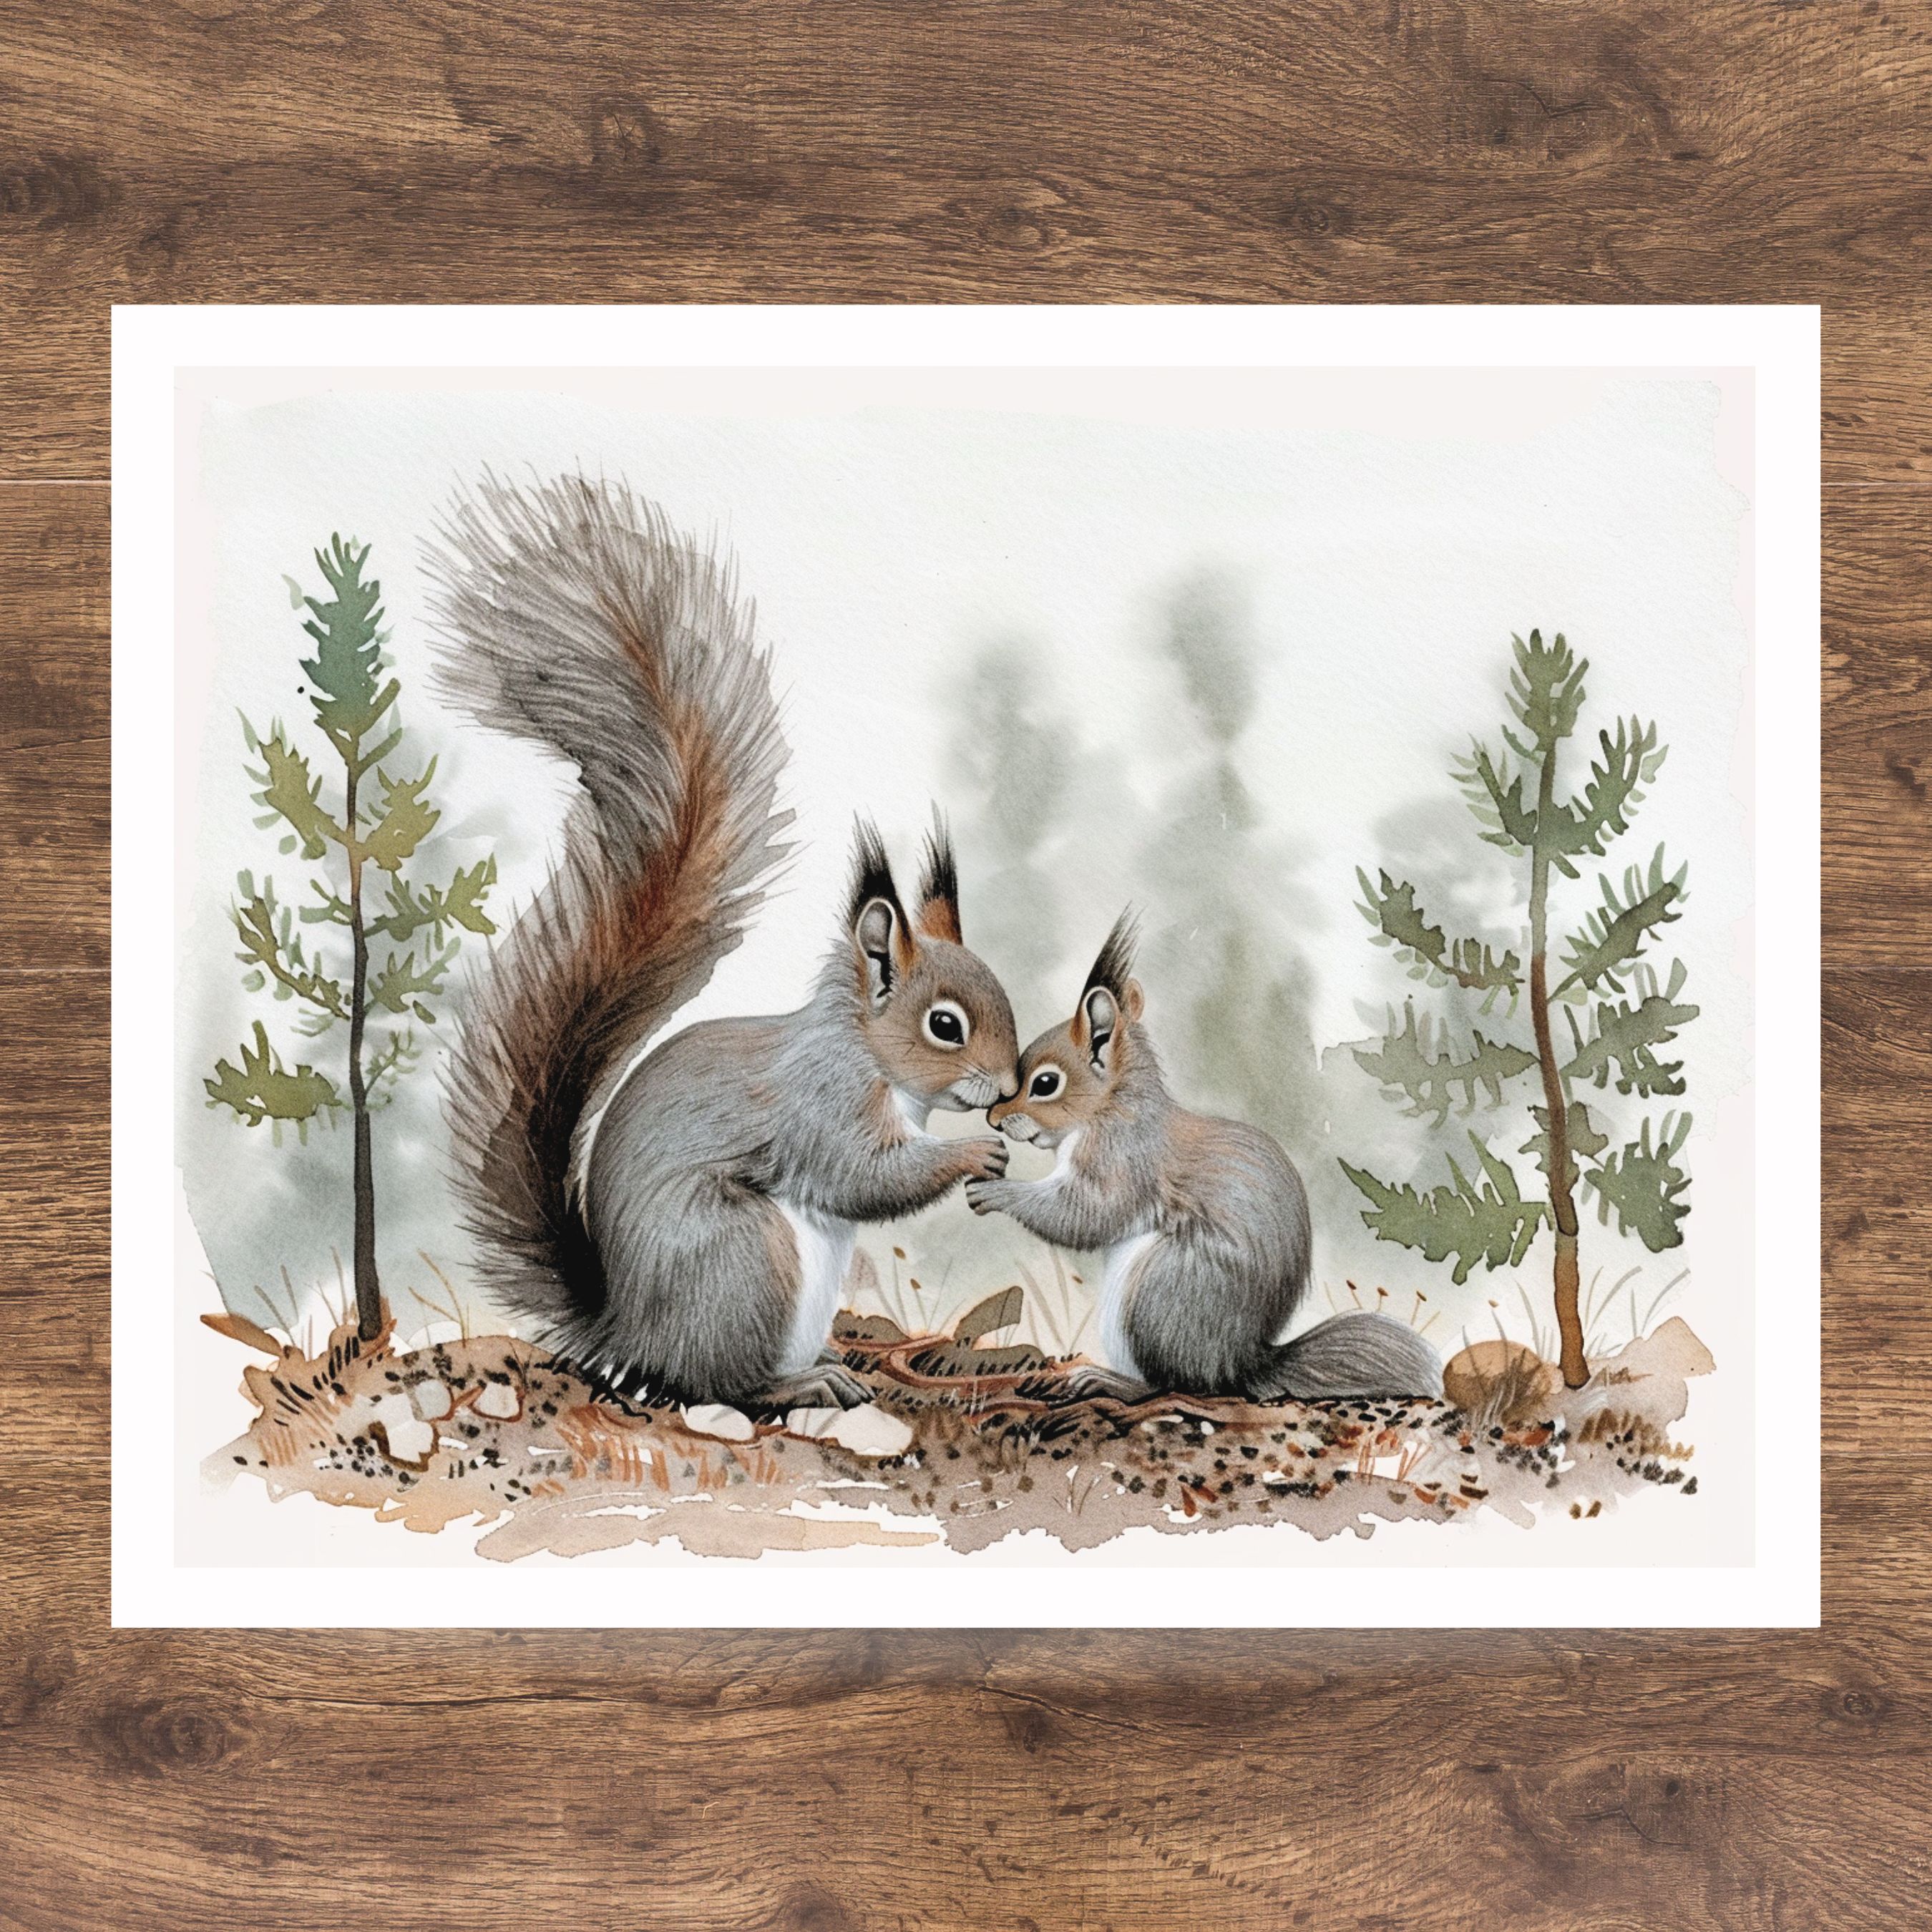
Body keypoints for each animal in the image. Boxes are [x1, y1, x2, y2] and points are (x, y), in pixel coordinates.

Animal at [428, 473, 1020, 1412]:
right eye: (945, 1026)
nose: (1006, 1088)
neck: (866, 1052)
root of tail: (625, 1327)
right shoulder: (822, 1110)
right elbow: (864, 1176)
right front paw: (973, 1151)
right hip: (745, 1259)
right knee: (722, 1385)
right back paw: (802, 1385)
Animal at [968, 915, 1443, 1404]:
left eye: (1045, 1084)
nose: (993, 1118)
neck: (1112, 1108)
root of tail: (1236, 1365)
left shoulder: (1124, 1159)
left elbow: (1084, 1215)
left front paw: (996, 1191)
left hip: (1161, 1295)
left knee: (1175, 1384)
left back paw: (1106, 1380)